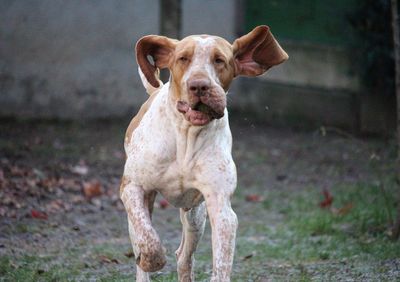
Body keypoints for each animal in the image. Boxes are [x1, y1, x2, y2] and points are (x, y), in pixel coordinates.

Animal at [120, 25, 290, 280]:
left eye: (219, 60)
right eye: (183, 58)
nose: (199, 86)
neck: (185, 137)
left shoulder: (221, 208)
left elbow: (221, 264)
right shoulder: (133, 188)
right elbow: (149, 241)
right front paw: (152, 259)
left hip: (195, 216)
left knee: (184, 257)